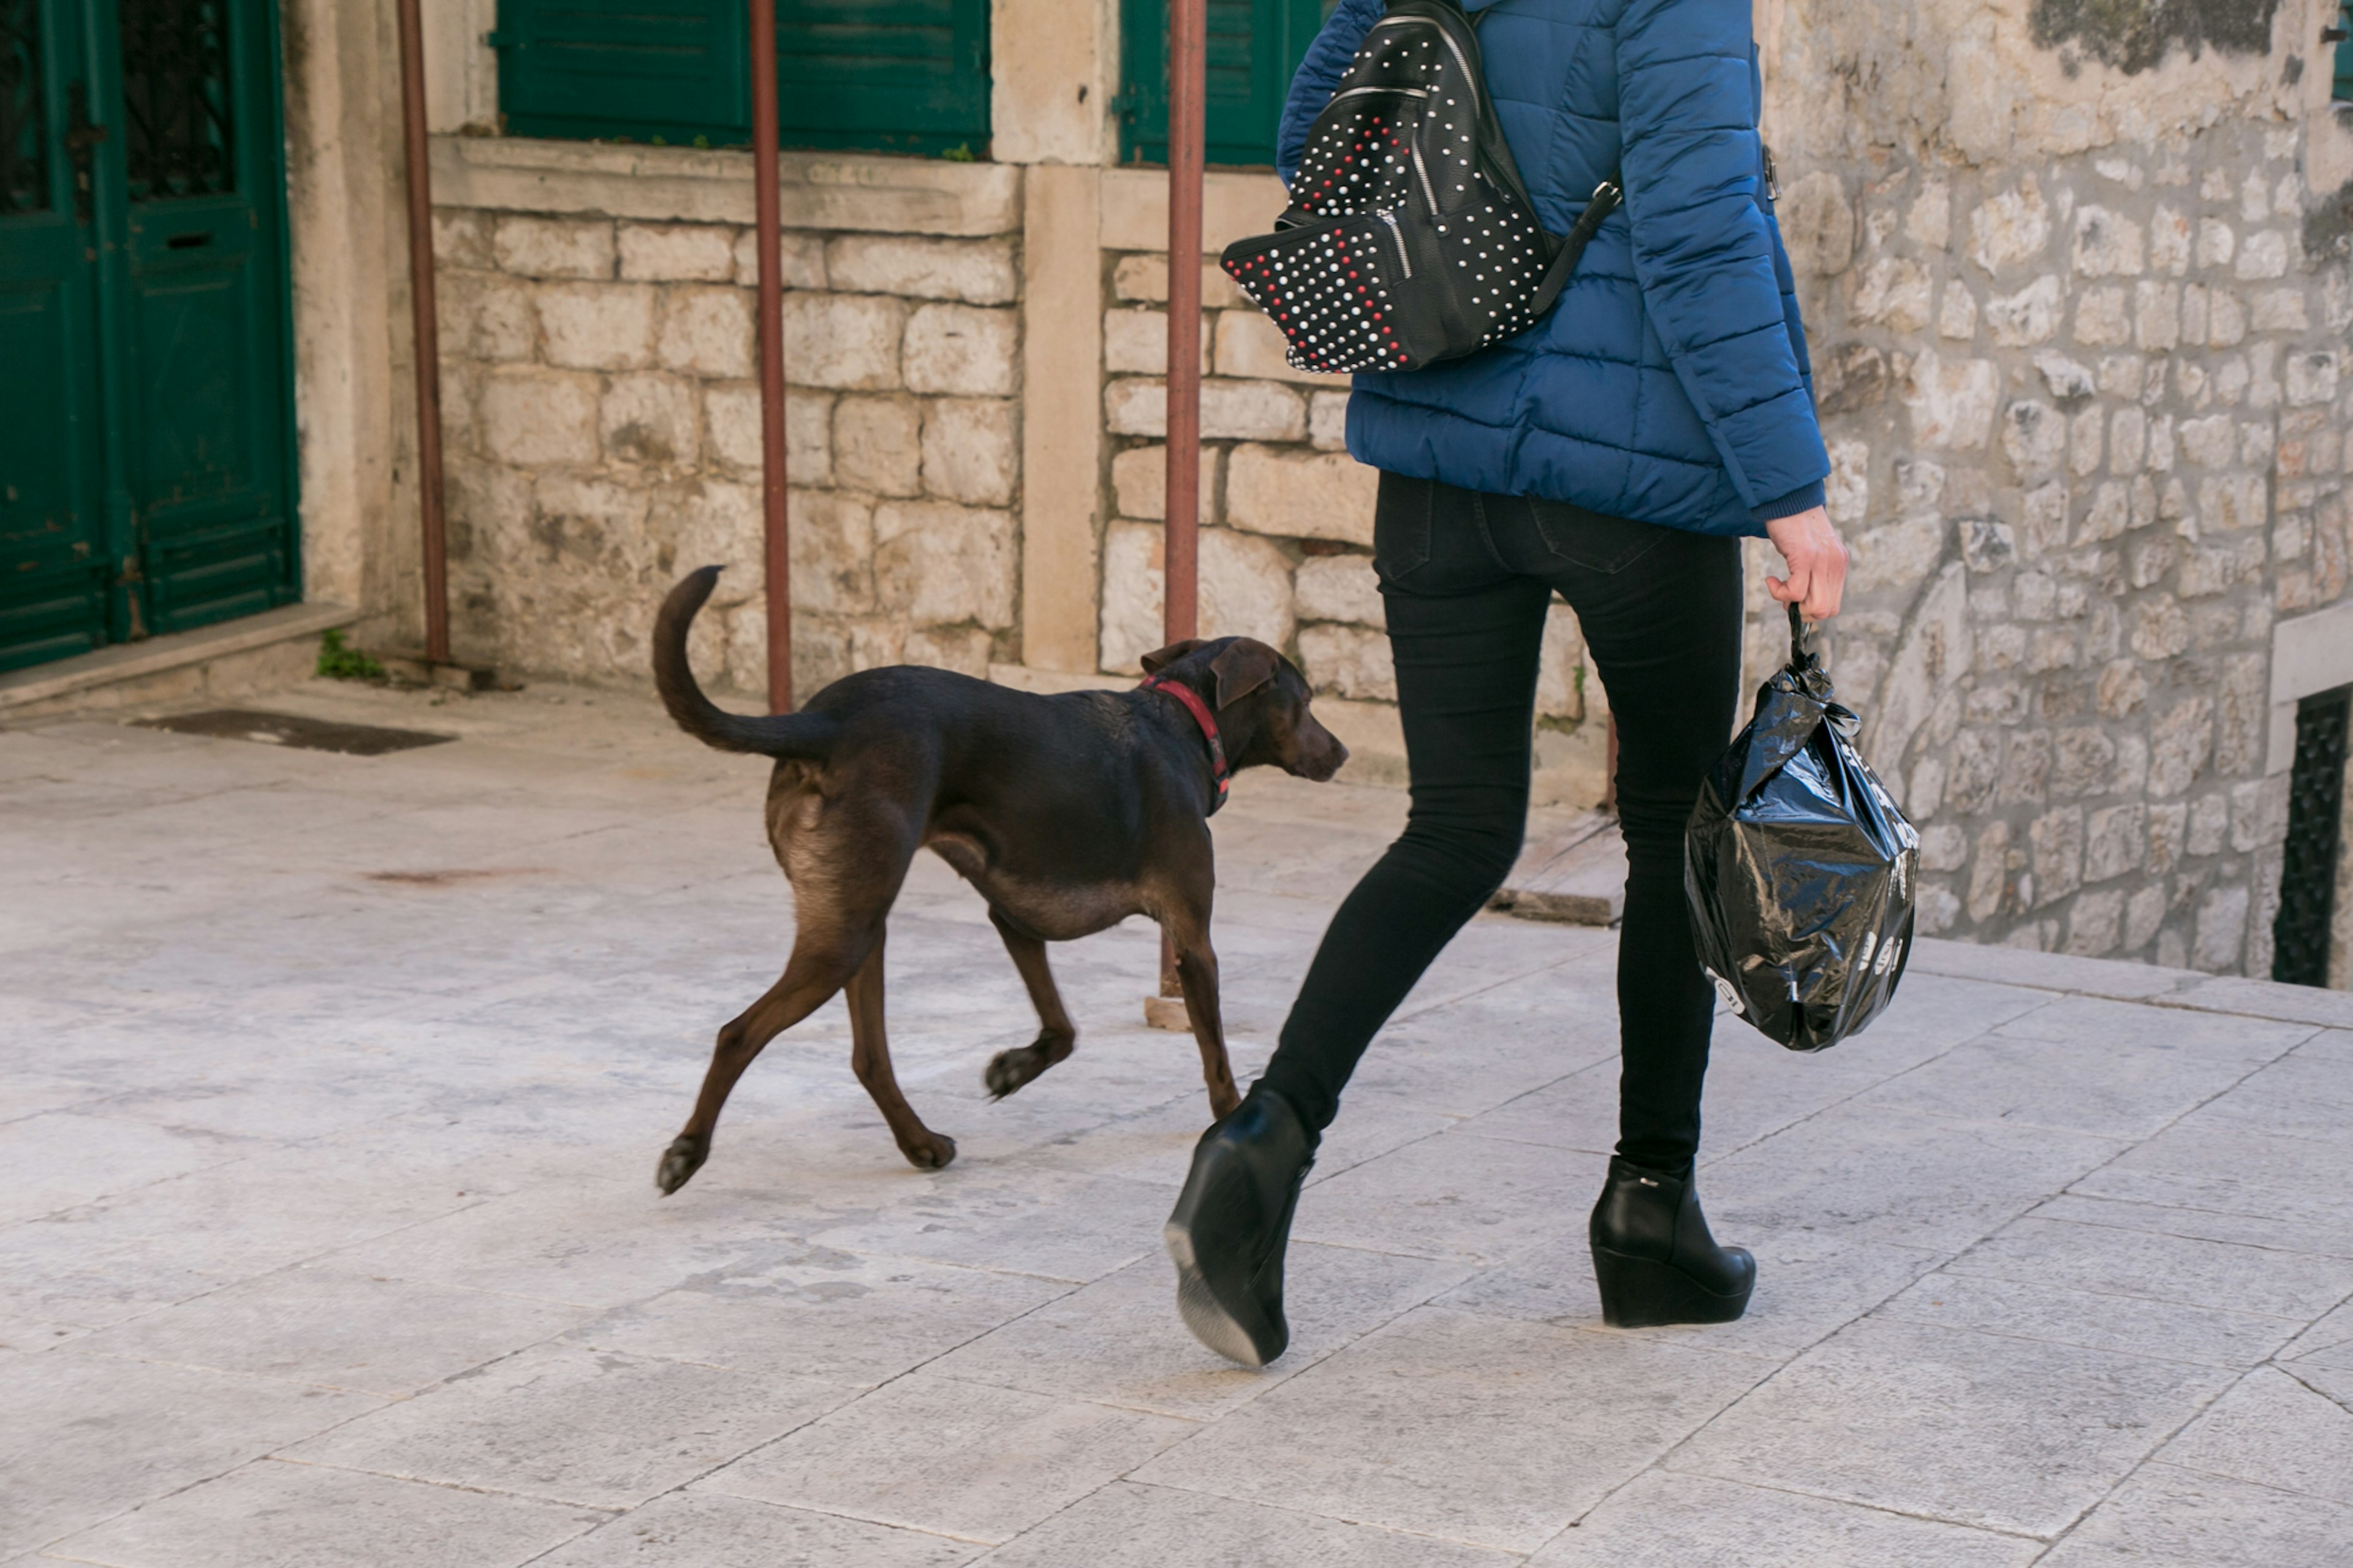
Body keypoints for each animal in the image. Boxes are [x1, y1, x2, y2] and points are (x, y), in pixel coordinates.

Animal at [649, 562, 1346, 1186]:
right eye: (1308, 702)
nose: (1340, 752)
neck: (1184, 725)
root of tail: (823, 723)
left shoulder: (1015, 918)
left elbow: (1063, 1030)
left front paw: (1014, 1067)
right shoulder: (1192, 941)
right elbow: (1215, 1054)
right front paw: (1231, 1121)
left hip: (861, 921)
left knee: (869, 1057)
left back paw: (921, 1143)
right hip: (842, 936)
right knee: (738, 1033)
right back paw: (687, 1151)